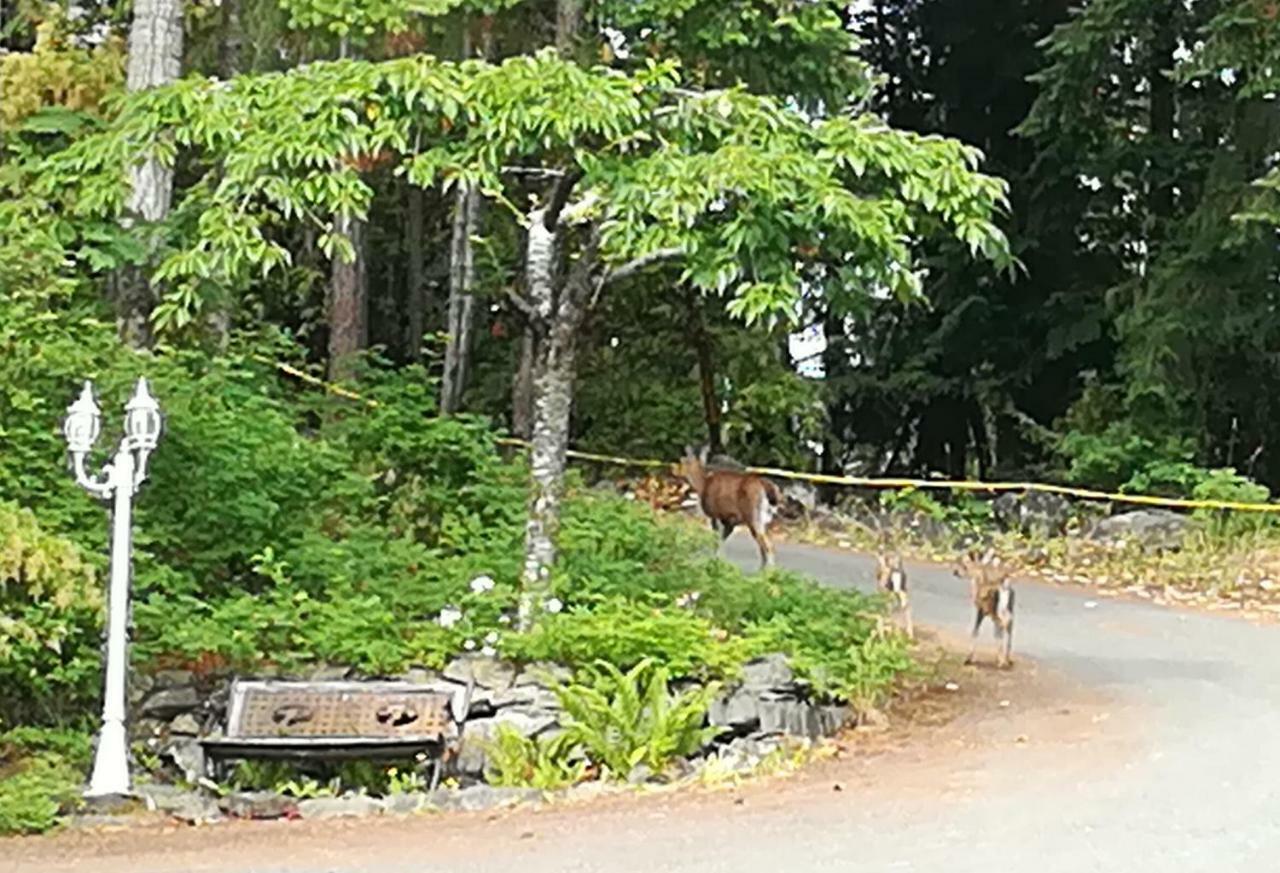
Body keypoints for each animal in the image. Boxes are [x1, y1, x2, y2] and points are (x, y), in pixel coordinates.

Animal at [675, 442, 783, 570]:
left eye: (683, 462)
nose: (678, 474)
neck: (703, 484)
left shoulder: (715, 514)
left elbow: (716, 540)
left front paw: (714, 563)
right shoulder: (730, 520)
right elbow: (721, 541)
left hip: (753, 516)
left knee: (768, 546)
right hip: (764, 519)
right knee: (765, 547)